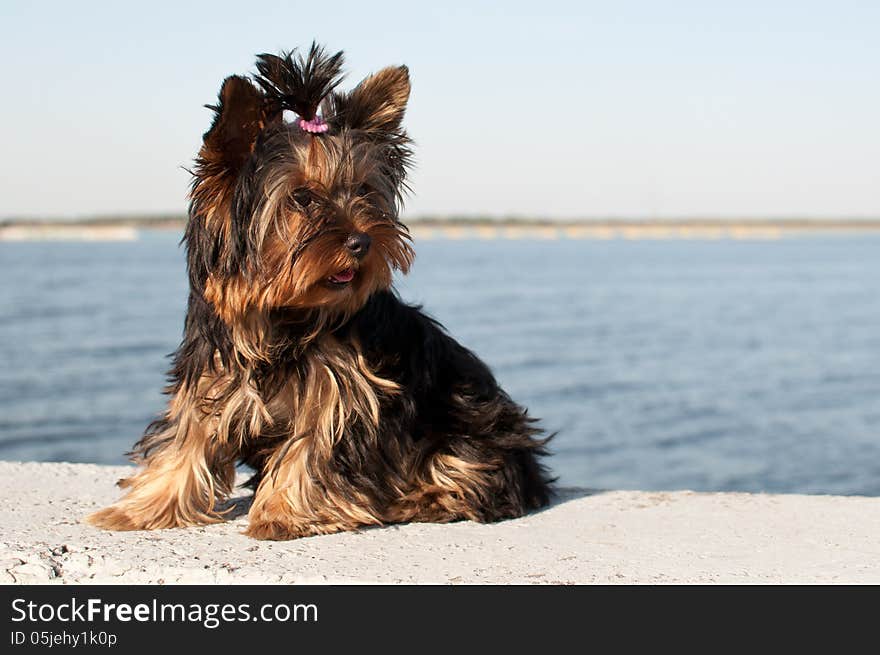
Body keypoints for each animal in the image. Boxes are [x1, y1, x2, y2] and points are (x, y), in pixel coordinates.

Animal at [87, 43, 552, 540]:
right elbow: (186, 437)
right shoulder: (211, 371)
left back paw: (416, 499)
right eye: (302, 198)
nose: (363, 241)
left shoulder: (345, 388)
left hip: (471, 431)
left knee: (468, 472)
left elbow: (315, 445)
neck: (281, 314)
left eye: (364, 190)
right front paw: (145, 507)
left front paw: (282, 513)